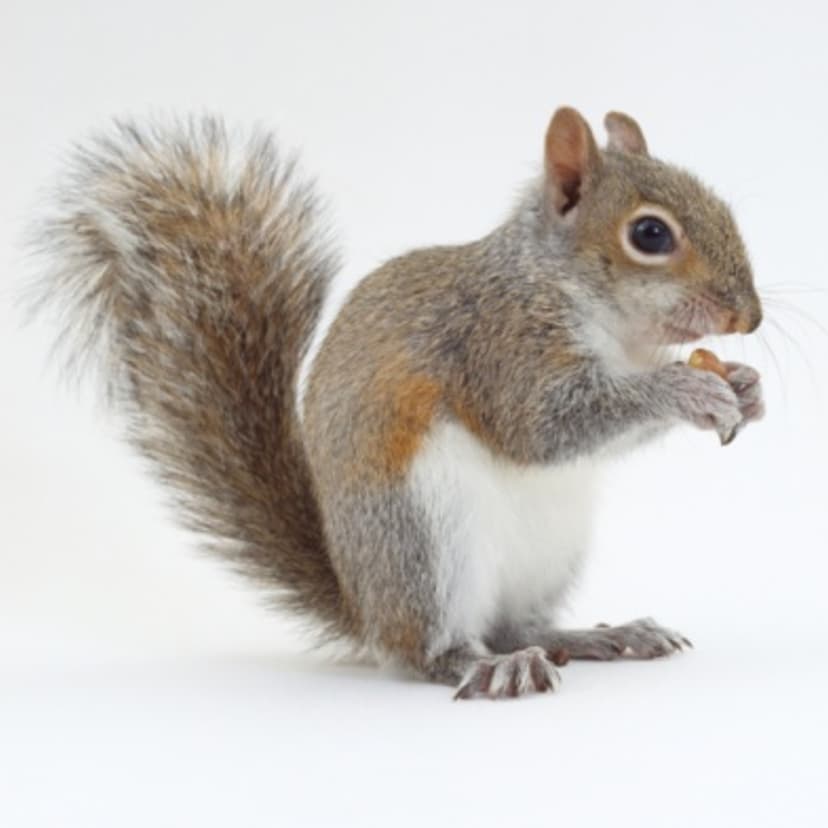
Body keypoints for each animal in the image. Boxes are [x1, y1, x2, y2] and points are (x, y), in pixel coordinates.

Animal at [31, 106, 764, 699]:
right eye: (650, 235)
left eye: (722, 206)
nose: (750, 317)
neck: (612, 326)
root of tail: (365, 607)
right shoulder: (498, 343)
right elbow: (540, 426)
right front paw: (684, 389)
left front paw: (746, 387)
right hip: (422, 537)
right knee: (432, 650)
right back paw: (485, 666)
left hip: (550, 553)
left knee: (516, 625)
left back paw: (597, 636)